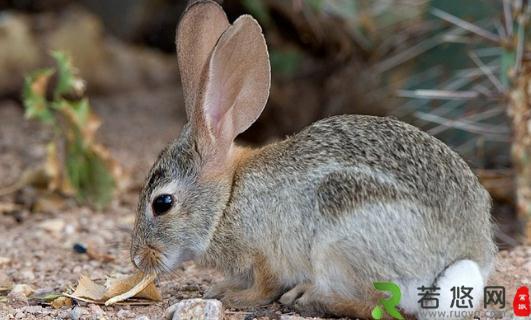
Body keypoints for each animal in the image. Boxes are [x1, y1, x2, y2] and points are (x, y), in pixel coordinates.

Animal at [130, 1, 498, 318]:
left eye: (162, 203)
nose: (137, 259)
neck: (226, 200)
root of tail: (465, 256)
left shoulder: (265, 254)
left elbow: (265, 286)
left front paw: (234, 296)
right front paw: (222, 287)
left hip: (340, 244)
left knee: (382, 306)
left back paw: (310, 299)